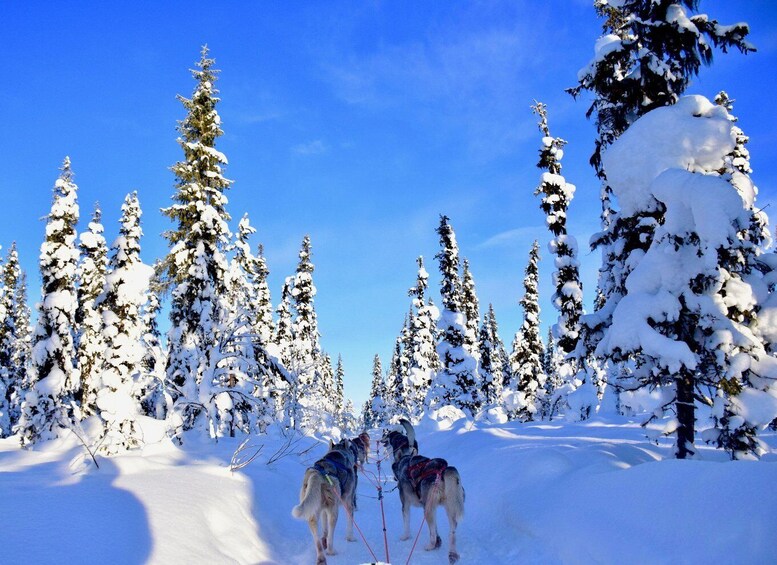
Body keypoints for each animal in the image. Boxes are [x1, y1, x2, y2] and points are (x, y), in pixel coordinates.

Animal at [292, 436, 360, 564]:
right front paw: (351, 538)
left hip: (312, 511)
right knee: (330, 536)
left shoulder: (323, 509)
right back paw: (331, 551)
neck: (339, 452)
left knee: (317, 538)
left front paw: (323, 538)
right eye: (352, 448)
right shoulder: (348, 503)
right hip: (333, 511)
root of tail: (317, 474)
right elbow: (350, 524)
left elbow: (324, 530)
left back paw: (321, 556)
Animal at [380, 416, 464, 560]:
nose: (380, 440)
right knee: (451, 533)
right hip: (450, 509)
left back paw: (430, 546)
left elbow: (406, 523)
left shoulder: (405, 505)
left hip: (428, 509)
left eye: (385, 436)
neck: (405, 461)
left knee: (433, 535)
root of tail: (442, 470)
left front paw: (405, 537)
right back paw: (451, 553)